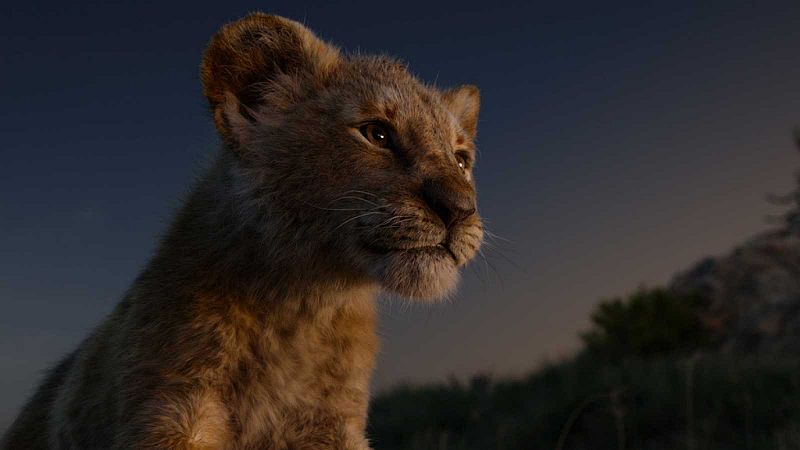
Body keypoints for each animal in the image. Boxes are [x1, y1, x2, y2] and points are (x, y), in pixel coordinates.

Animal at [2, 13, 482, 449]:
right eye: (377, 134)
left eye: (461, 159)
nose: (461, 208)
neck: (303, 308)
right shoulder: (171, 407)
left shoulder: (330, 424)